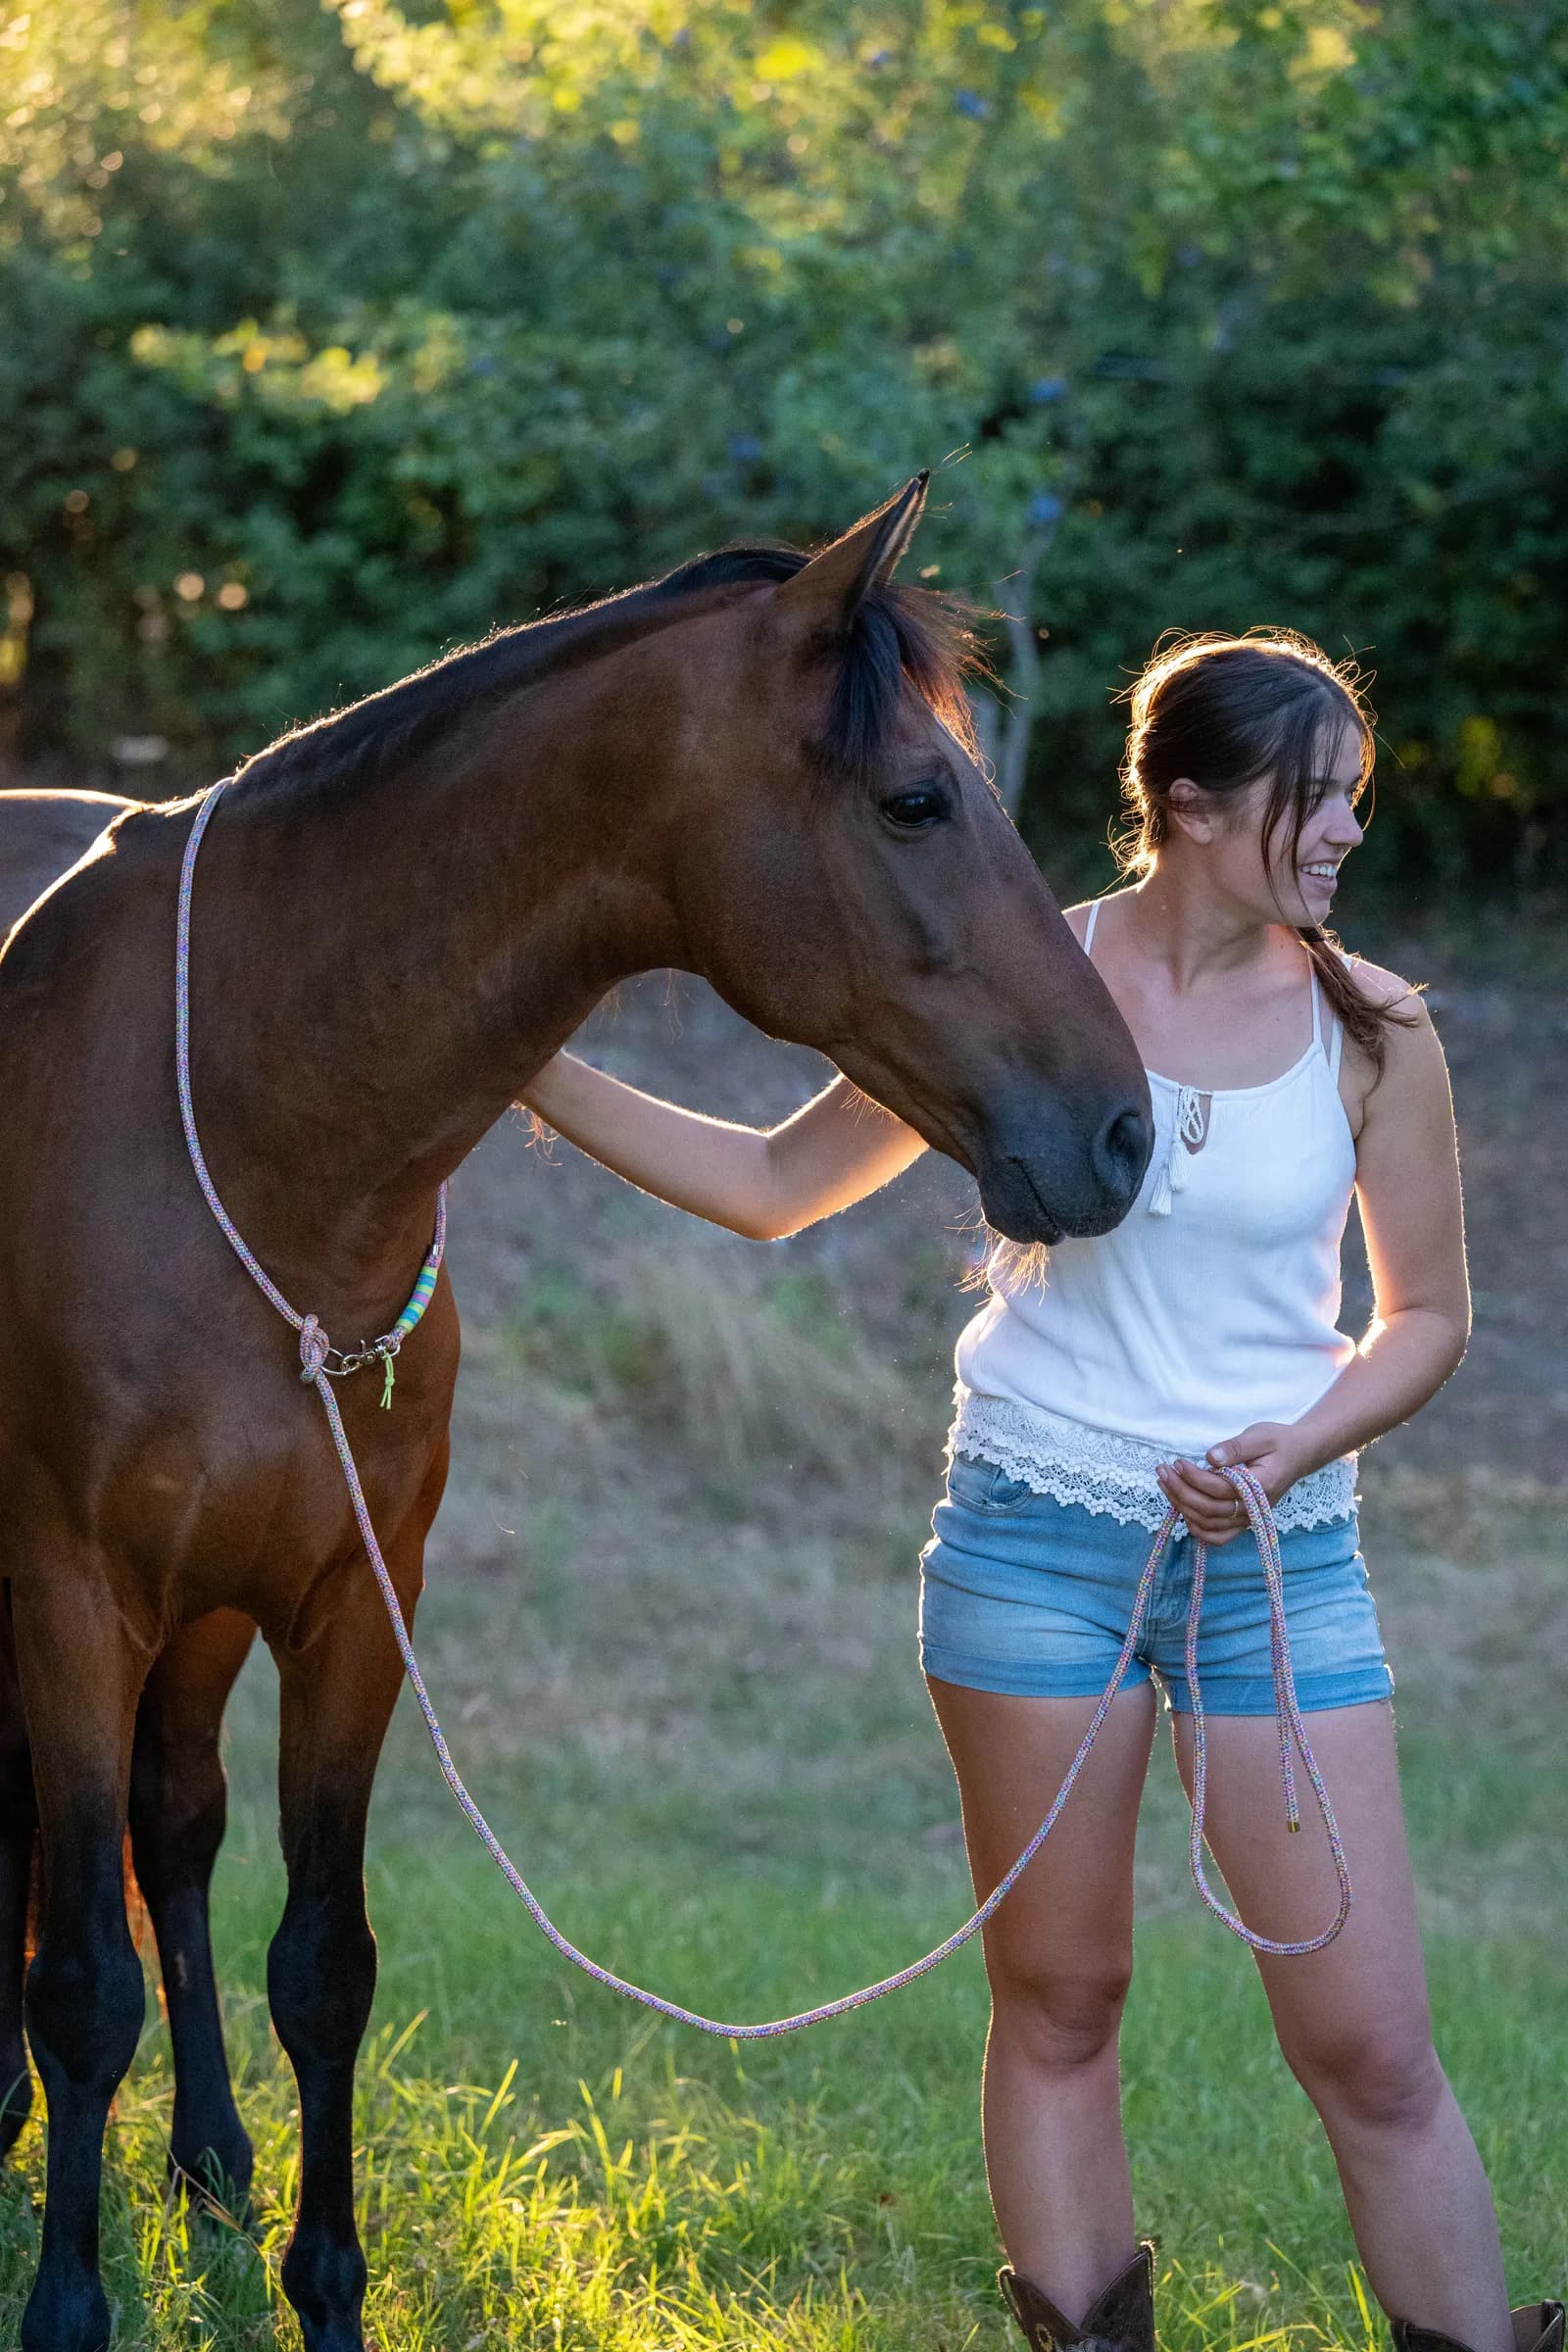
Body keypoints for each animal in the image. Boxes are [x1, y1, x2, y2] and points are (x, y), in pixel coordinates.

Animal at [0, 476, 1152, 2352]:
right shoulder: (73, 1595)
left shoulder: (346, 1602)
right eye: (917, 798)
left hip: (203, 1620)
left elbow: (320, 1965)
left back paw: (209, 2169)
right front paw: (65, 2306)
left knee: (167, 1836)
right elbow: (81, 1984)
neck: (242, 1126)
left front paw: (323, 2288)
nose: (1121, 1131)